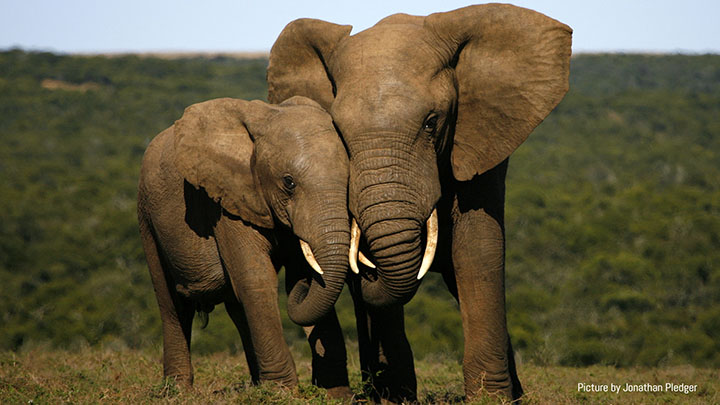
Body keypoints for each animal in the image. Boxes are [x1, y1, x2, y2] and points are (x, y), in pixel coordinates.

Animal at [137, 96, 352, 392]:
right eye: (288, 182)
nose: (305, 285)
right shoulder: (226, 199)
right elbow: (255, 279)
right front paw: (281, 391)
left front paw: (337, 395)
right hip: (147, 216)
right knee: (172, 303)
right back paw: (177, 390)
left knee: (235, 308)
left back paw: (254, 384)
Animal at [266, 4, 572, 402]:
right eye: (339, 132)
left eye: (431, 122)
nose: (303, 281)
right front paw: (394, 397)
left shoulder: (477, 143)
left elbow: (477, 249)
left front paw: (491, 398)